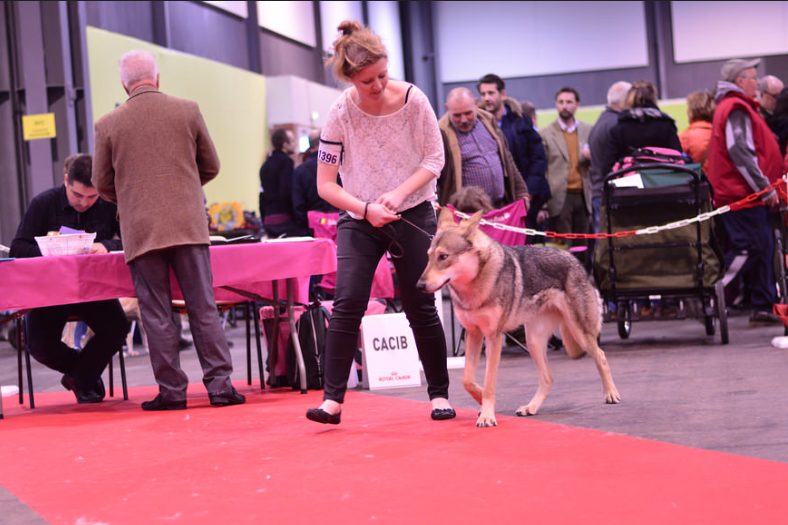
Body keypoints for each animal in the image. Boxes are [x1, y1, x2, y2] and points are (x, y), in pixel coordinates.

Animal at [418, 206, 620, 426]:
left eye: (443, 257)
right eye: (428, 256)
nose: (419, 285)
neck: (474, 284)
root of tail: (576, 260)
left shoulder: (493, 337)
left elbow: (489, 383)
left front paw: (487, 415)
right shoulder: (473, 333)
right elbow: (467, 381)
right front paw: (481, 401)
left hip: (579, 334)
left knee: (601, 356)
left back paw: (611, 394)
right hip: (534, 341)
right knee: (548, 378)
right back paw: (530, 408)